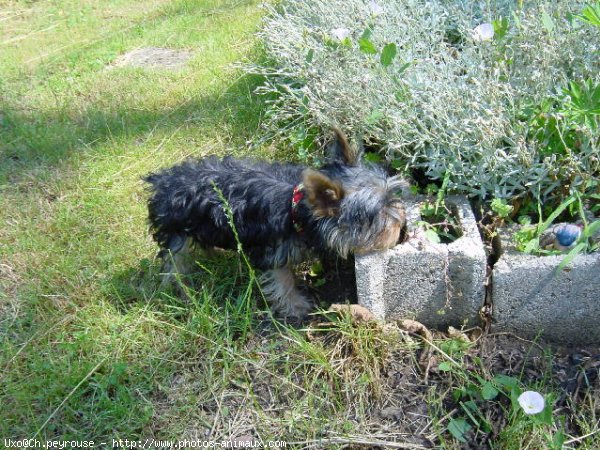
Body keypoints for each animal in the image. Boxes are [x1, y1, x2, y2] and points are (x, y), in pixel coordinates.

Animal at [146, 130, 408, 320]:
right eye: (381, 218)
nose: (404, 229)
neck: (296, 209)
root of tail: (162, 181)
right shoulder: (274, 251)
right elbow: (283, 280)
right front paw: (296, 306)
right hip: (175, 231)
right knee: (174, 261)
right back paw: (180, 289)